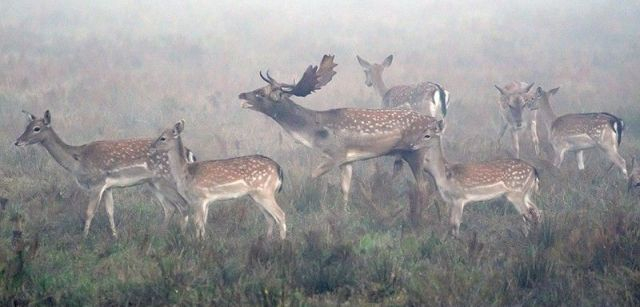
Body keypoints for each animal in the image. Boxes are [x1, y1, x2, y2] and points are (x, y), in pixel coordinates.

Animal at [14, 110, 195, 238]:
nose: (17, 141)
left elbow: (89, 212)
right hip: (152, 183)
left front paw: (84, 238)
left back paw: (179, 236)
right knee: (169, 207)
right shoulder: (108, 187)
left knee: (182, 204)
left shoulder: (97, 183)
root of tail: (188, 153)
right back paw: (160, 234)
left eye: (36, 128)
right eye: (26, 127)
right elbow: (110, 211)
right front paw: (115, 236)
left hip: (166, 179)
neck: (78, 162)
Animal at [149, 120, 286, 241]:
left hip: (264, 191)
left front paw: (198, 243)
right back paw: (267, 241)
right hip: (256, 196)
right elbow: (203, 223)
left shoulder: (200, 197)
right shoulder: (206, 201)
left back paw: (282, 243)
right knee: (270, 218)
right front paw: (202, 240)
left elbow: (198, 222)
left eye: (163, 138)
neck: (185, 173)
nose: (151, 147)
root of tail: (278, 169)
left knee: (280, 215)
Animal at [238, 54, 442, 226]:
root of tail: (435, 123)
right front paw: (345, 213)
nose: (241, 95)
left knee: (423, 186)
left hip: (416, 152)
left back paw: (420, 217)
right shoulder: (347, 159)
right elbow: (345, 188)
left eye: (261, 94)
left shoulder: (335, 154)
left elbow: (312, 175)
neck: (312, 131)